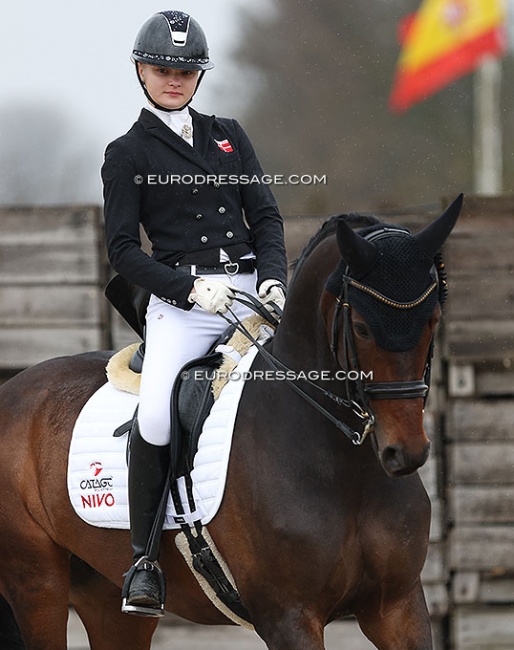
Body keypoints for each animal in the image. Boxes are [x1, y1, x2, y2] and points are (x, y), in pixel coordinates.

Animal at [0, 195, 460, 644]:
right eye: (362, 328)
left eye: (433, 320)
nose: (406, 451)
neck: (343, 468)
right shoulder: (288, 618)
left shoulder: (398, 607)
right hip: (38, 583)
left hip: (108, 599)